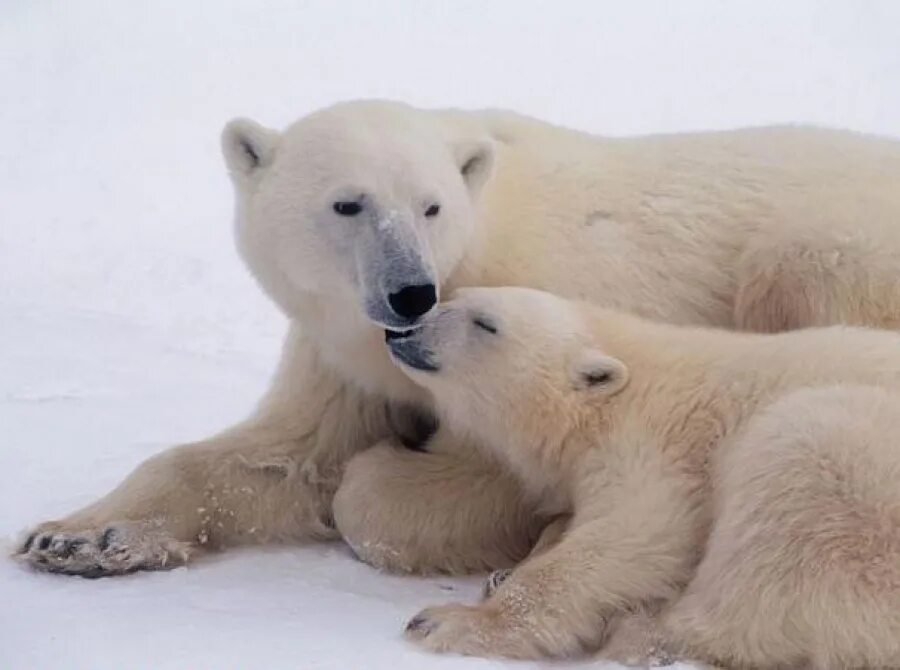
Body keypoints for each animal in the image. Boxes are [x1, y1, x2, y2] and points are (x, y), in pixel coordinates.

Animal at [15, 102, 900, 580]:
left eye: (431, 205)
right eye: (348, 203)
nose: (412, 291)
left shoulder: (542, 322)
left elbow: (443, 475)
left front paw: (398, 475)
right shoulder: (342, 348)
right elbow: (285, 453)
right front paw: (77, 534)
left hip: (832, 246)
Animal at [392, 288, 900, 670]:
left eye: (486, 323)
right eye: (452, 298)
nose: (406, 330)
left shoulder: (655, 441)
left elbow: (635, 533)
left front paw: (451, 620)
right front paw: (507, 570)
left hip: (851, 474)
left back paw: (642, 629)